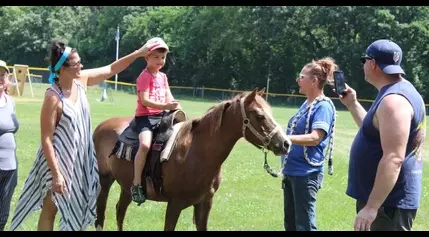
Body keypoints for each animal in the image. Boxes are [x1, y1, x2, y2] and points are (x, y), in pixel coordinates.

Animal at [93, 88, 290, 231]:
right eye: (260, 116)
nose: (285, 143)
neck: (196, 152)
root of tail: (102, 126)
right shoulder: (174, 205)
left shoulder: (204, 204)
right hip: (105, 180)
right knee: (101, 213)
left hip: (126, 186)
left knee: (120, 211)